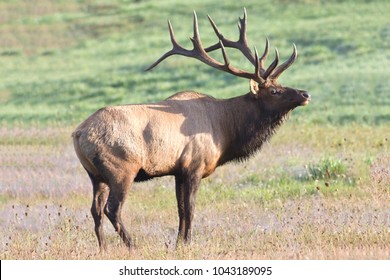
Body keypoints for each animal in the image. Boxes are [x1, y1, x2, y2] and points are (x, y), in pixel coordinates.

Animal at [73, 9, 310, 252]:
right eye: (274, 91)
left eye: (280, 84)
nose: (305, 94)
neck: (226, 130)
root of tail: (79, 133)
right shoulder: (194, 166)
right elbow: (190, 209)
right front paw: (187, 243)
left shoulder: (178, 171)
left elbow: (180, 210)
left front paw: (178, 244)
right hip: (122, 169)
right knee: (112, 209)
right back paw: (132, 246)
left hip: (95, 175)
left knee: (95, 210)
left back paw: (103, 248)